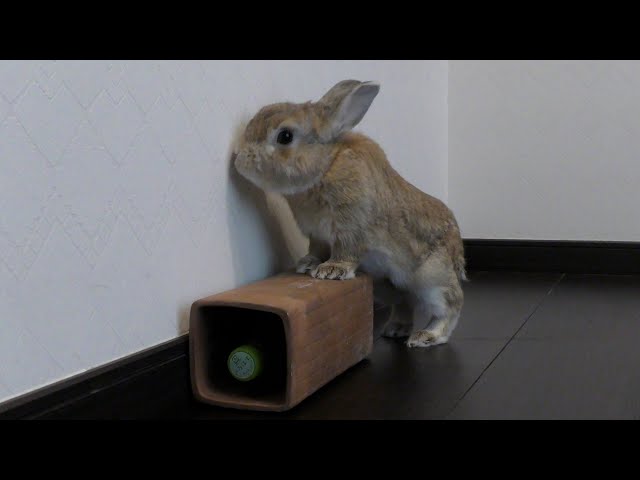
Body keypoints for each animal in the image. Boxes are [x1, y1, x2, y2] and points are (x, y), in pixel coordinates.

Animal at [234, 79, 466, 348]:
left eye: (285, 136)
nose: (239, 159)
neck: (325, 167)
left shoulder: (350, 227)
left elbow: (346, 249)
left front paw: (330, 271)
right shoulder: (317, 235)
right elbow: (316, 249)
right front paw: (306, 264)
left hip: (432, 280)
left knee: (450, 306)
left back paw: (425, 336)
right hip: (386, 285)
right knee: (403, 303)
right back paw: (395, 329)